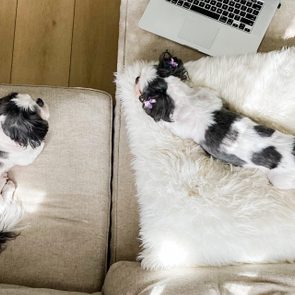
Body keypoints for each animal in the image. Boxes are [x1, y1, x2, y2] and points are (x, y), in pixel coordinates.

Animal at [0, 92, 49, 252]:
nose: (40, 100)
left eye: (33, 99)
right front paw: (40, 143)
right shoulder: (22, 157)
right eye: (35, 112)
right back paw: (8, 185)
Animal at [136, 51, 295, 191]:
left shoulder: (178, 129)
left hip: (279, 180)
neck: (184, 98)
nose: (136, 77)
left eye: (142, 89)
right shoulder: (210, 94)